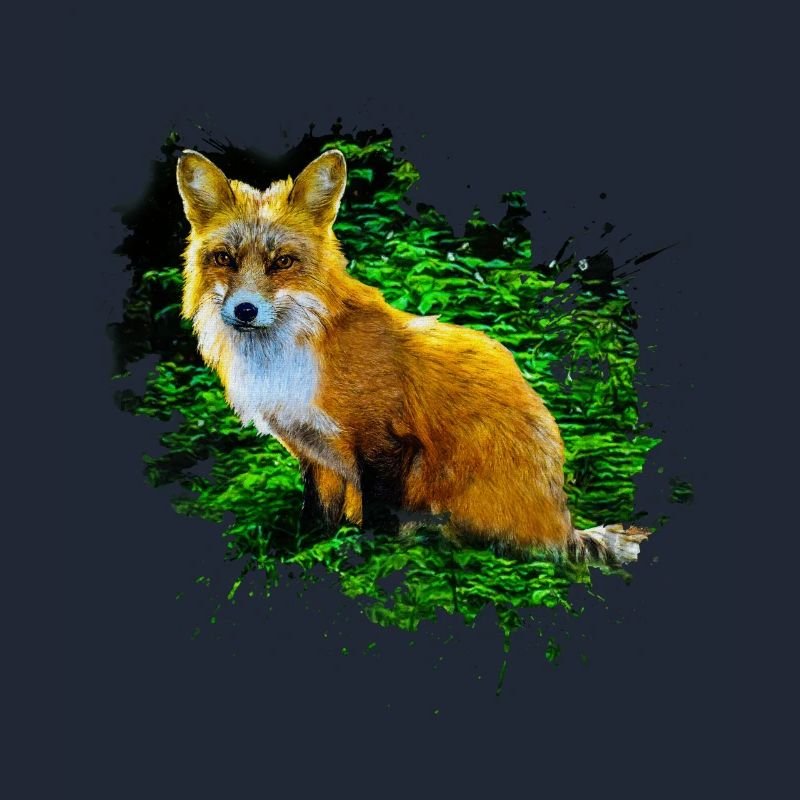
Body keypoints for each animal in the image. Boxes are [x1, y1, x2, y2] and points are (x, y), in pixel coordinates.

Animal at [175, 148, 649, 564]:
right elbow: (315, 518)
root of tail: (562, 524)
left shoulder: (388, 443)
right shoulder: (314, 454)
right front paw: (306, 553)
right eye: (224, 258)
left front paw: (368, 563)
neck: (294, 355)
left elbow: (379, 519)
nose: (245, 310)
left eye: (283, 263)